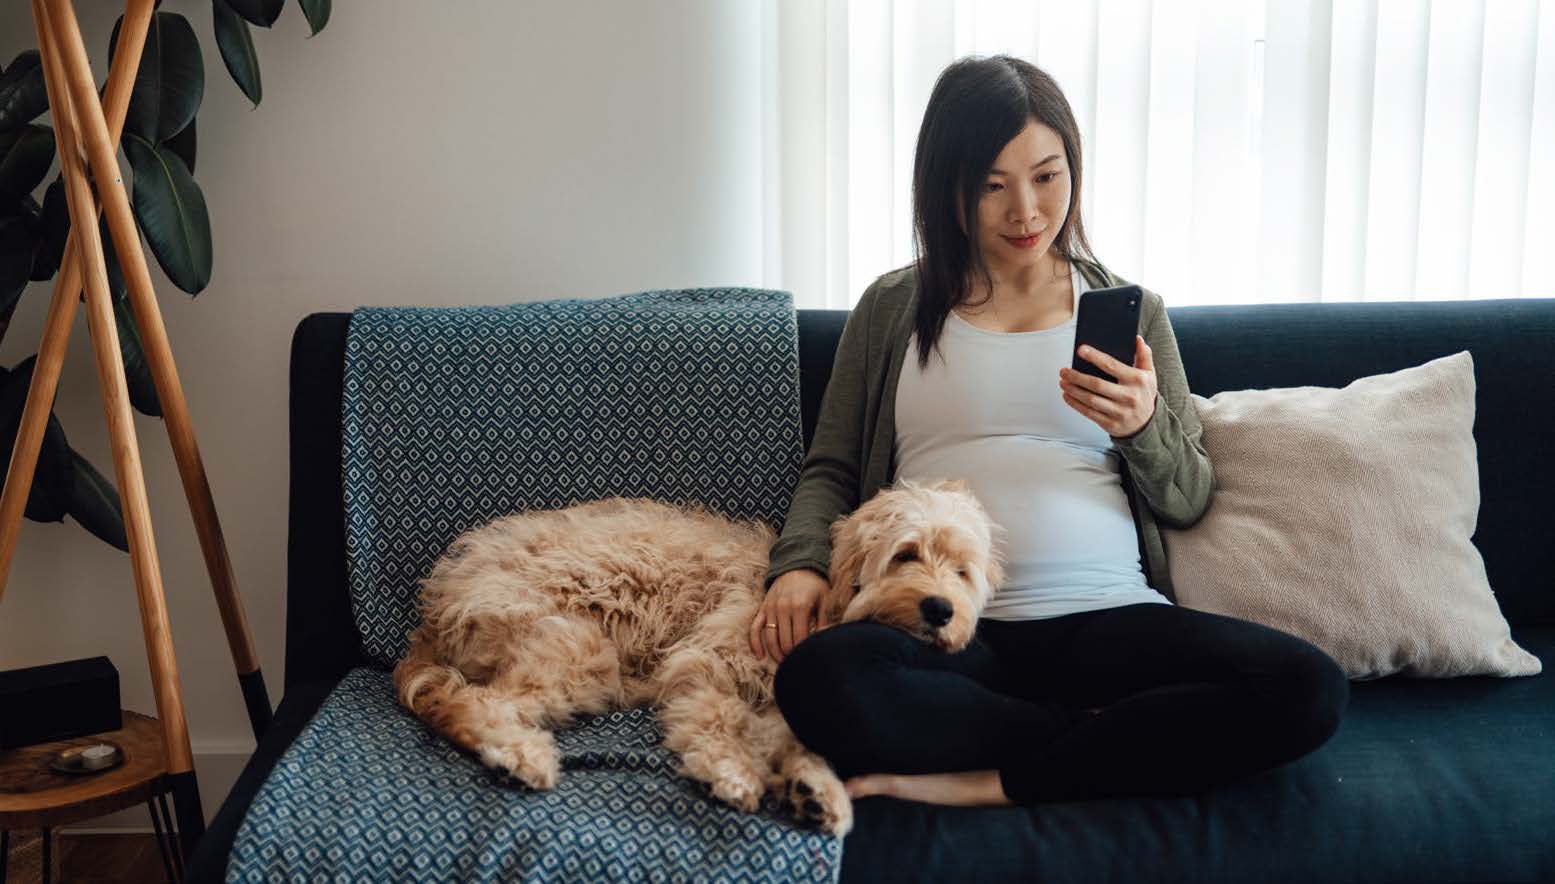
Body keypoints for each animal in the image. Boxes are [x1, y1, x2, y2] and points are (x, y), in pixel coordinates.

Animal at [394, 476, 1001, 834]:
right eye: (906, 554)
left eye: (962, 572)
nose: (941, 609)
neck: (826, 606)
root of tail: (435, 610)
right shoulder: (711, 663)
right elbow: (716, 719)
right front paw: (730, 769)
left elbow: (794, 739)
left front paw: (813, 788)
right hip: (577, 647)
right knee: (470, 704)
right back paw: (522, 754)